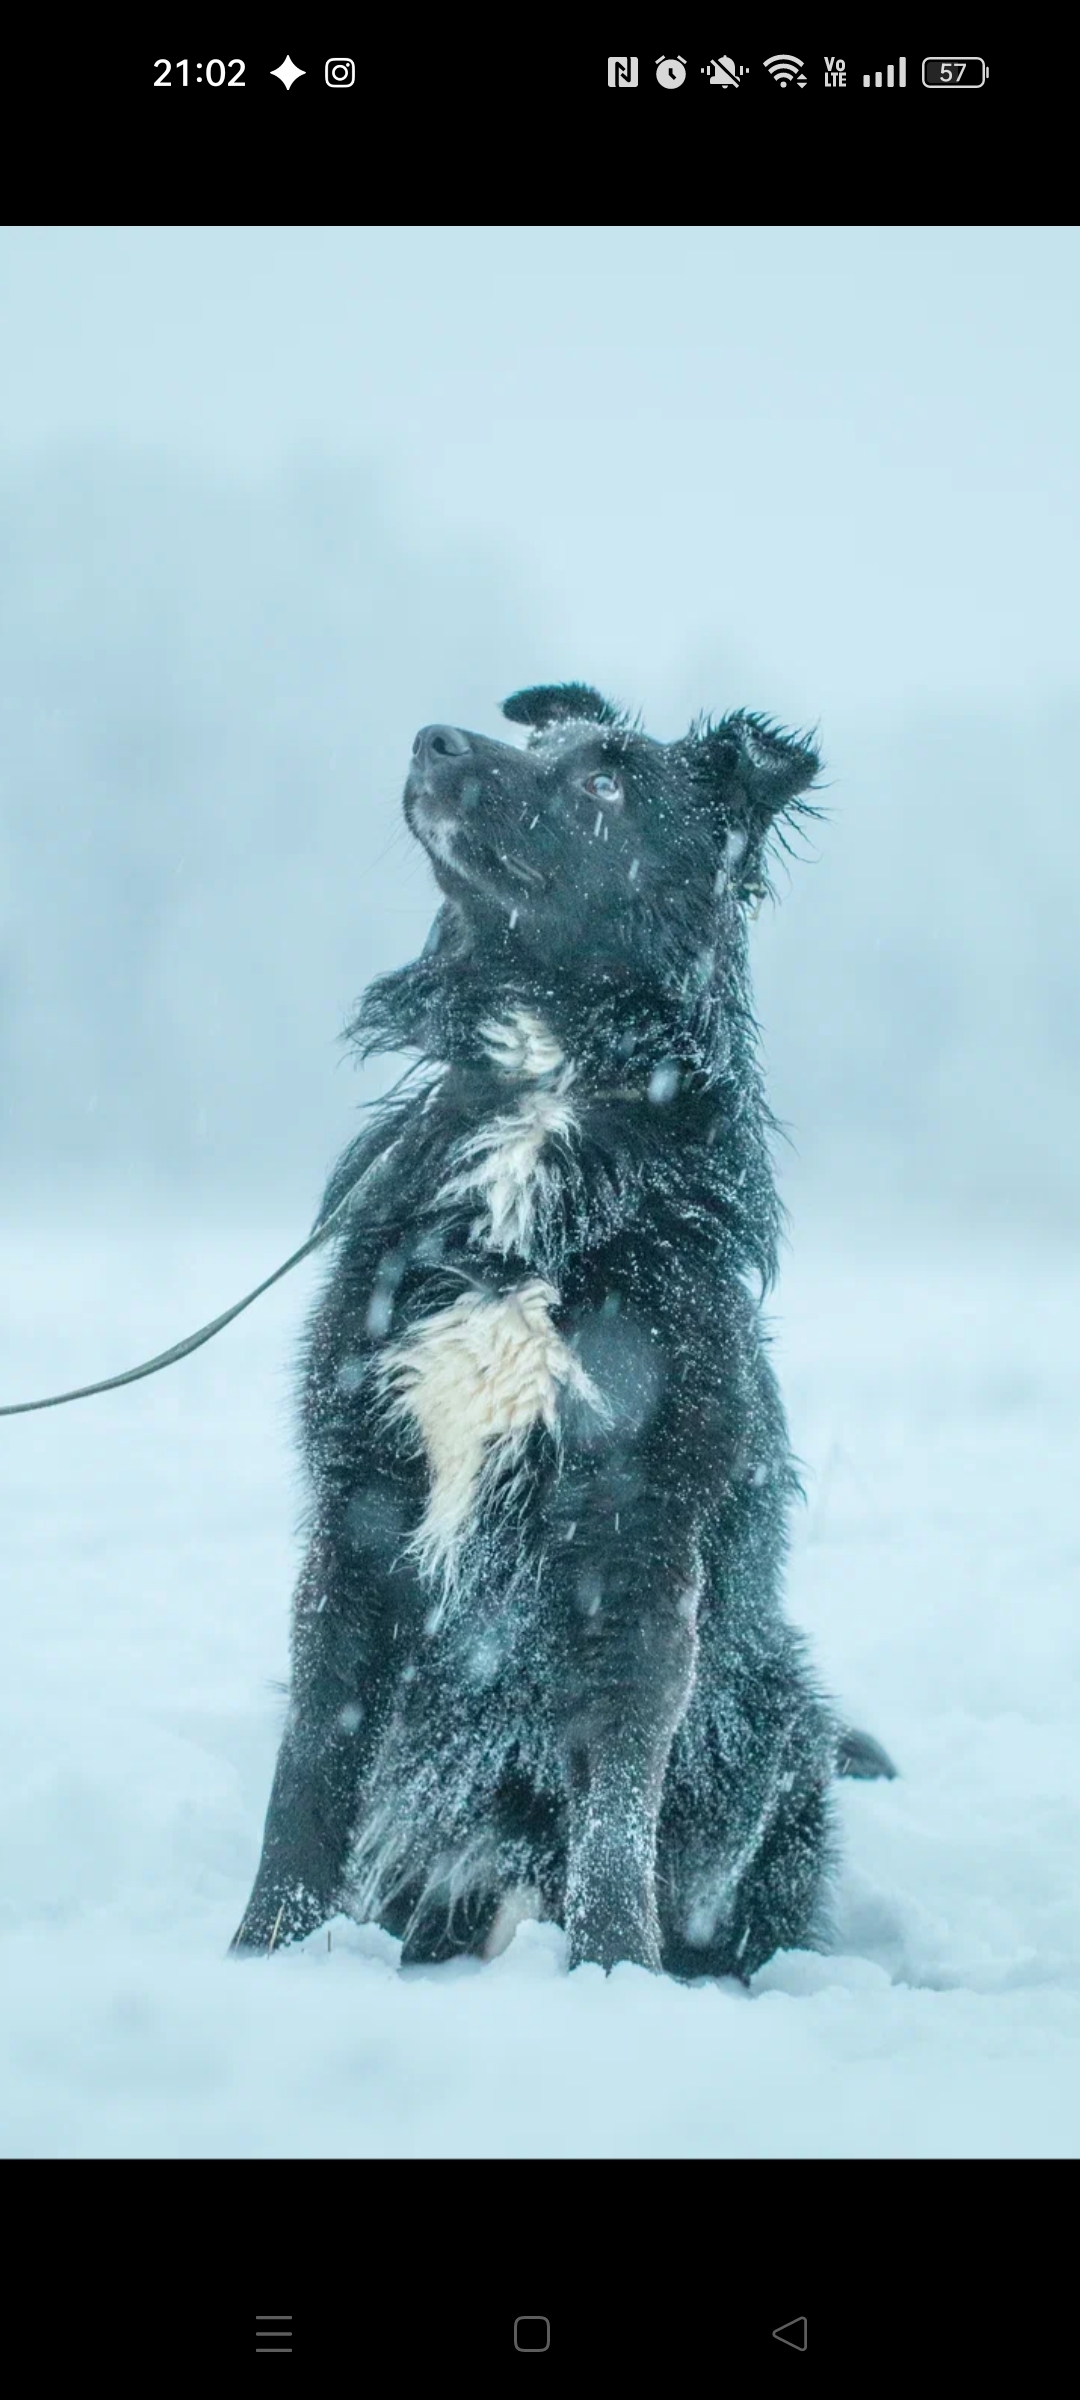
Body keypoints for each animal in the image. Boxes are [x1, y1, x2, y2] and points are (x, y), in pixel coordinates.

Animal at [230, 686, 892, 1977]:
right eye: (540, 742)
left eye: (605, 783)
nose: (433, 738)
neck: (547, 1099)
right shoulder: (362, 1501)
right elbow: (313, 1767)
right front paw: (259, 1953)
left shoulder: (633, 1539)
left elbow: (618, 1809)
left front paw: (613, 1980)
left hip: (774, 1716)